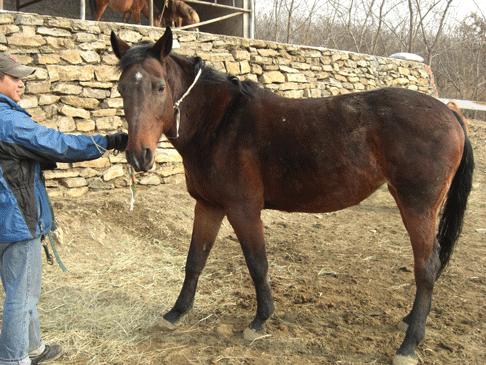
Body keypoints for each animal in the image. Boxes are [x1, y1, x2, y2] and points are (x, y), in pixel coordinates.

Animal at [110, 27, 474, 364]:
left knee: (426, 267)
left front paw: (259, 321)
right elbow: (195, 261)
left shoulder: (243, 210)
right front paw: (176, 313)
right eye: (121, 89)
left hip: (418, 207)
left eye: (160, 86)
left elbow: (257, 264)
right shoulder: (208, 206)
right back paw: (409, 322)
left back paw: (409, 344)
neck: (220, 123)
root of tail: (450, 113)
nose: (139, 156)